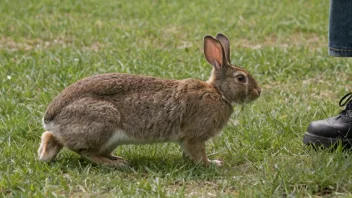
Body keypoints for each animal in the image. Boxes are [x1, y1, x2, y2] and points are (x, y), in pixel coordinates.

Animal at [37, 33, 262, 166]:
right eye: (241, 78)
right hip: (103, 121)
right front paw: (212, 163)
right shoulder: (194, 137)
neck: (218, 92)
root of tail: (51, 118)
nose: (258, 92)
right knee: (83, 151)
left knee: (53, 138)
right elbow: (198, 153)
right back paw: (116, 164)